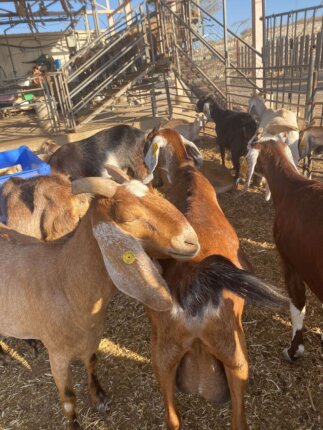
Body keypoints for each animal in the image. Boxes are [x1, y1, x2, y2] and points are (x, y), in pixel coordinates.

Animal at [144, 128, 288, 430]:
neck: (186, 173)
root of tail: (193, 278)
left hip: (164, 355)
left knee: (172, 419)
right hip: (234, 352)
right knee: (238, 420)